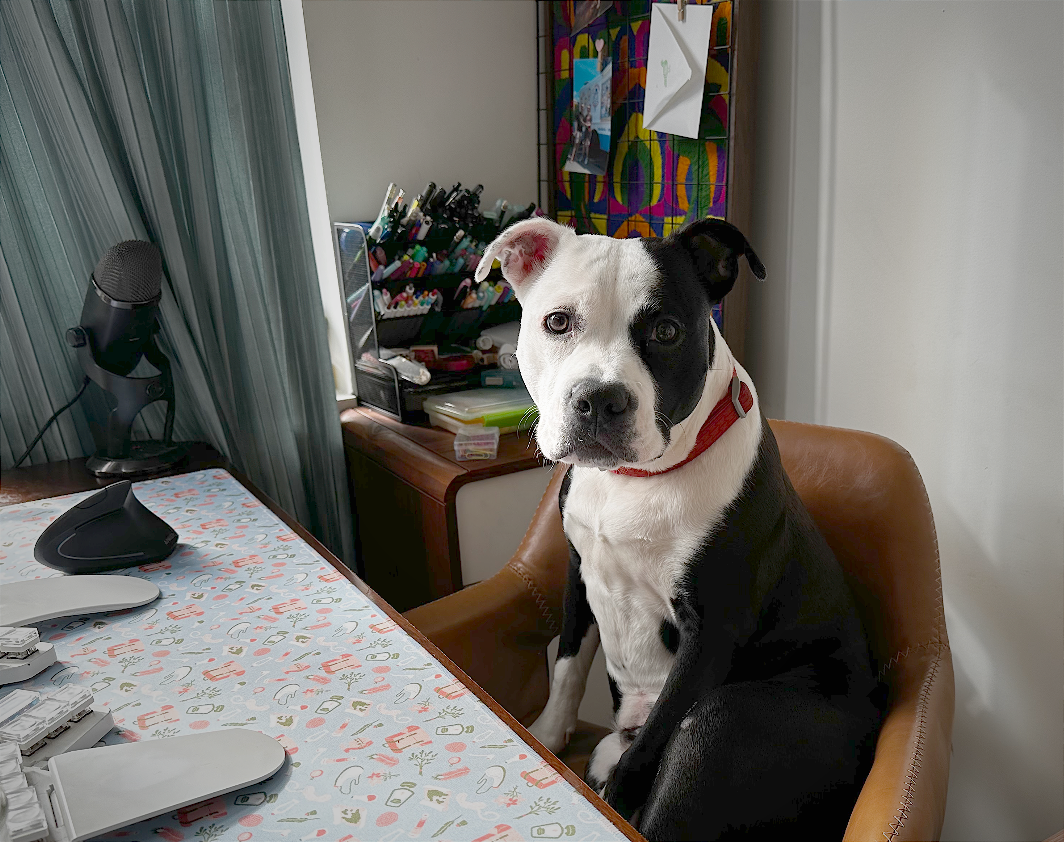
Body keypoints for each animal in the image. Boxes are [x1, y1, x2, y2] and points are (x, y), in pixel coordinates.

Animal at [474, 219, 880, 842]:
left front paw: (610, 806)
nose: (599, 399)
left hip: (724, 720)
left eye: (666, 331)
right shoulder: (577, 571)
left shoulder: (708, 634)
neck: (637, 481)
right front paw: (543, 741)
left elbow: (645, 754)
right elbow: (567, 666)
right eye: (558, 322)